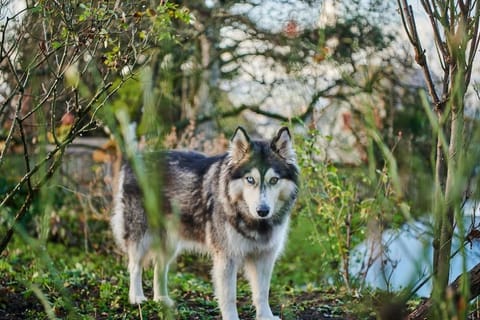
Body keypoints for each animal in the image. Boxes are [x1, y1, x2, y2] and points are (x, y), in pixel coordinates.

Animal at [110, 127, 298, 320]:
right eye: (250, 179)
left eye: (274, 180)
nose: (263, 210)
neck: (253, 222)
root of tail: (134, 158)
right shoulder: (226, 257)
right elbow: (229, 296)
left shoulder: (265, 256)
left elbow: (262, 293)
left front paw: (266, 316)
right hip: (140, 236)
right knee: (135, 266)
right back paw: (136, 297)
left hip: (170, 243)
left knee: (159, 268)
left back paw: (162, 299)